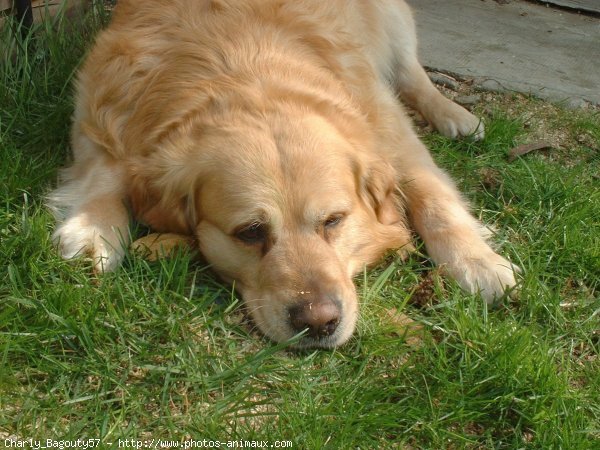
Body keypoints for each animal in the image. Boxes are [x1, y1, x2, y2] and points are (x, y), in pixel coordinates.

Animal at [50, 0, 520, 348]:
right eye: (250, 232)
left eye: (334, 221)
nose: (320, 322)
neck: (243, 70)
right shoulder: (100, 109)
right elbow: (103, 173)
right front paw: (93, 229)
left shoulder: (388, 127)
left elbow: (431, 192)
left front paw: (476, 261)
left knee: (411, 71)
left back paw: (455, 114)